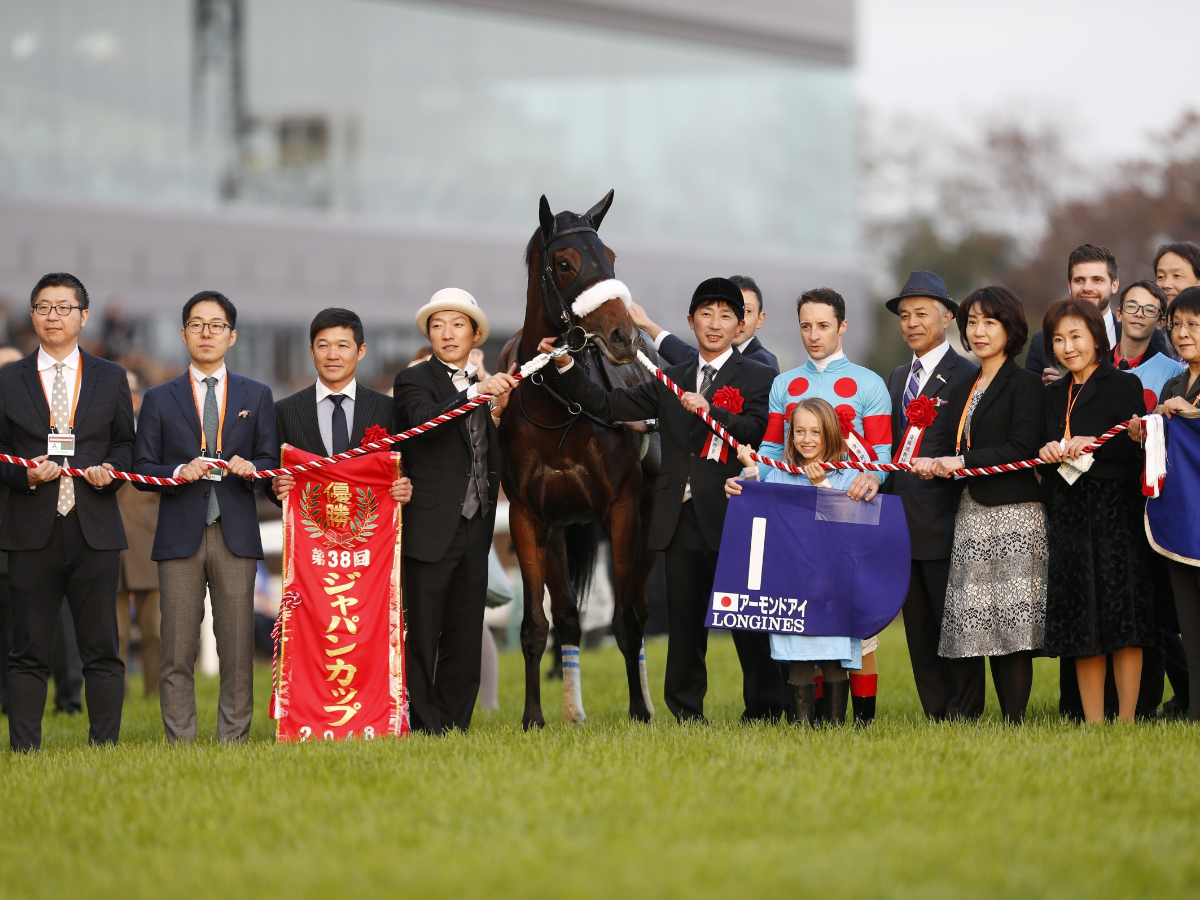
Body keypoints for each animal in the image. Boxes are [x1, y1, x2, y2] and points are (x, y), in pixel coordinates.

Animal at [496, 190, 667, 734]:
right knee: (569, 618)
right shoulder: (528, 517)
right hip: (559, 531)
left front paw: (639, 710)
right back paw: (573, 711)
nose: (622, 335)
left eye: (609, 257)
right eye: (566, 263)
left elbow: (627, 622)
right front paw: (533, 717)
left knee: (640, 607)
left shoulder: (623, 510)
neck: (559, 407)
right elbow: (537, 624)